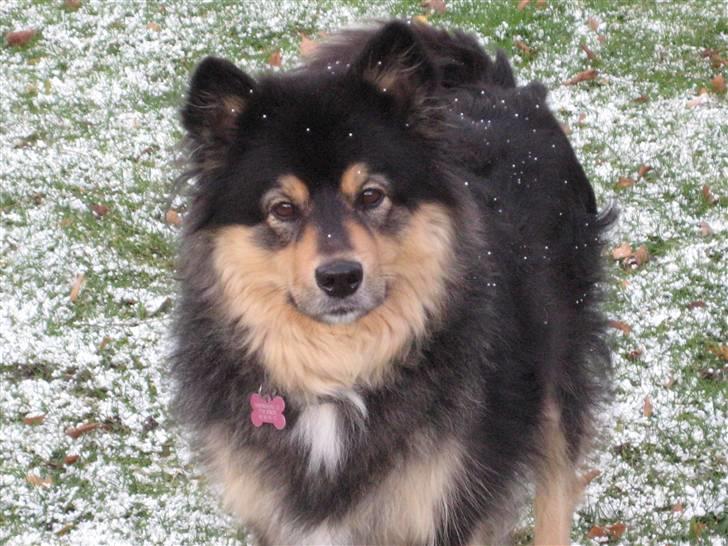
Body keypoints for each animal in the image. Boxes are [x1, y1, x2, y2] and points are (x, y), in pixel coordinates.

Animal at [171, 20, 616, 544]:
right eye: (282, 208)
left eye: (370, 195)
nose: (340, 277)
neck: (341, 376)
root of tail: (496, 87)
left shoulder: (449, 503)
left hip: (555, 378)